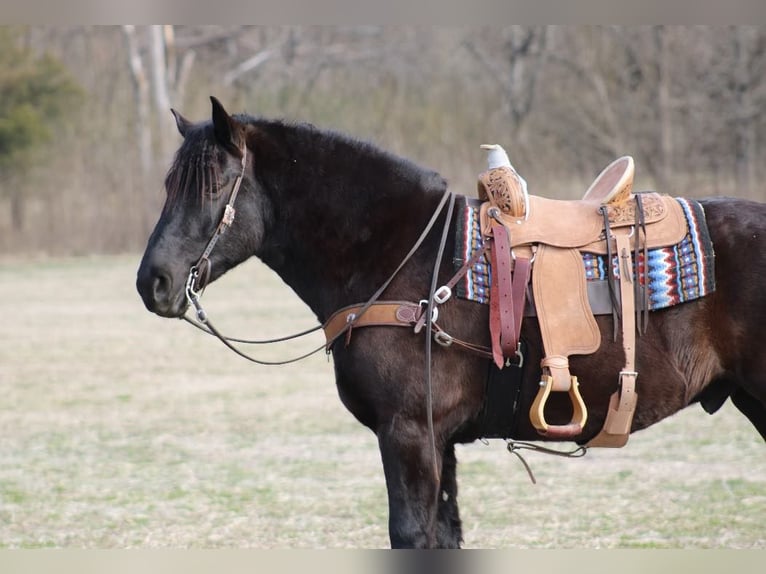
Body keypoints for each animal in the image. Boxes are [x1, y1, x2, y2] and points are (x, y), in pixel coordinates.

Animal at [136, 97, 766, 552]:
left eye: (213, 185)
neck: (401, 259)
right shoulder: (440, 443)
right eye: (167, 185)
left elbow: (412, 536)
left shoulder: (408, 434)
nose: (153, 282)